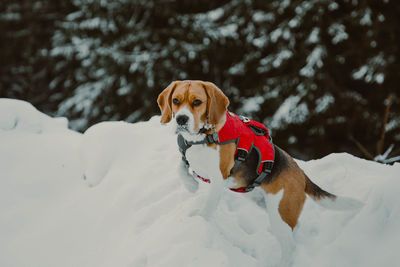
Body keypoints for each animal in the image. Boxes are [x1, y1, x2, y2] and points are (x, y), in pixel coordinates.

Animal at [157, 80, 362, 266]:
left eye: (197, 102)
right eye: (175, 100)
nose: (181, 119)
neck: (201, 136)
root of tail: (300, 174)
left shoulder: (219, 177)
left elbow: (208, 206)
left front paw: (199, 218)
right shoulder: (188, 158)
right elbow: (181, 167)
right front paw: (191, 185)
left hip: (279, 213)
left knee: (289, 246)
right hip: (268, 205)